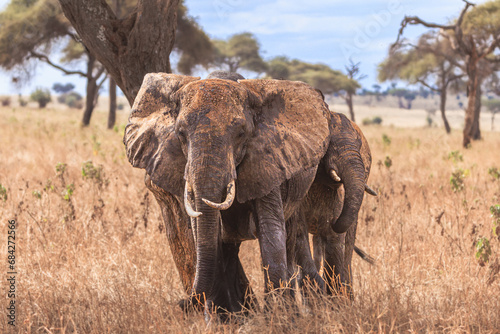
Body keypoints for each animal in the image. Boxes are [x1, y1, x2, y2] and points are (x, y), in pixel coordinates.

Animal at [122, 73, 330, 316]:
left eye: (241, 133)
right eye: (180, 133)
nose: (182, 304)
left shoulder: (268, 162)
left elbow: (271, 231)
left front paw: (277, 317)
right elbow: (205, 234)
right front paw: (219, 318)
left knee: (289, 238)